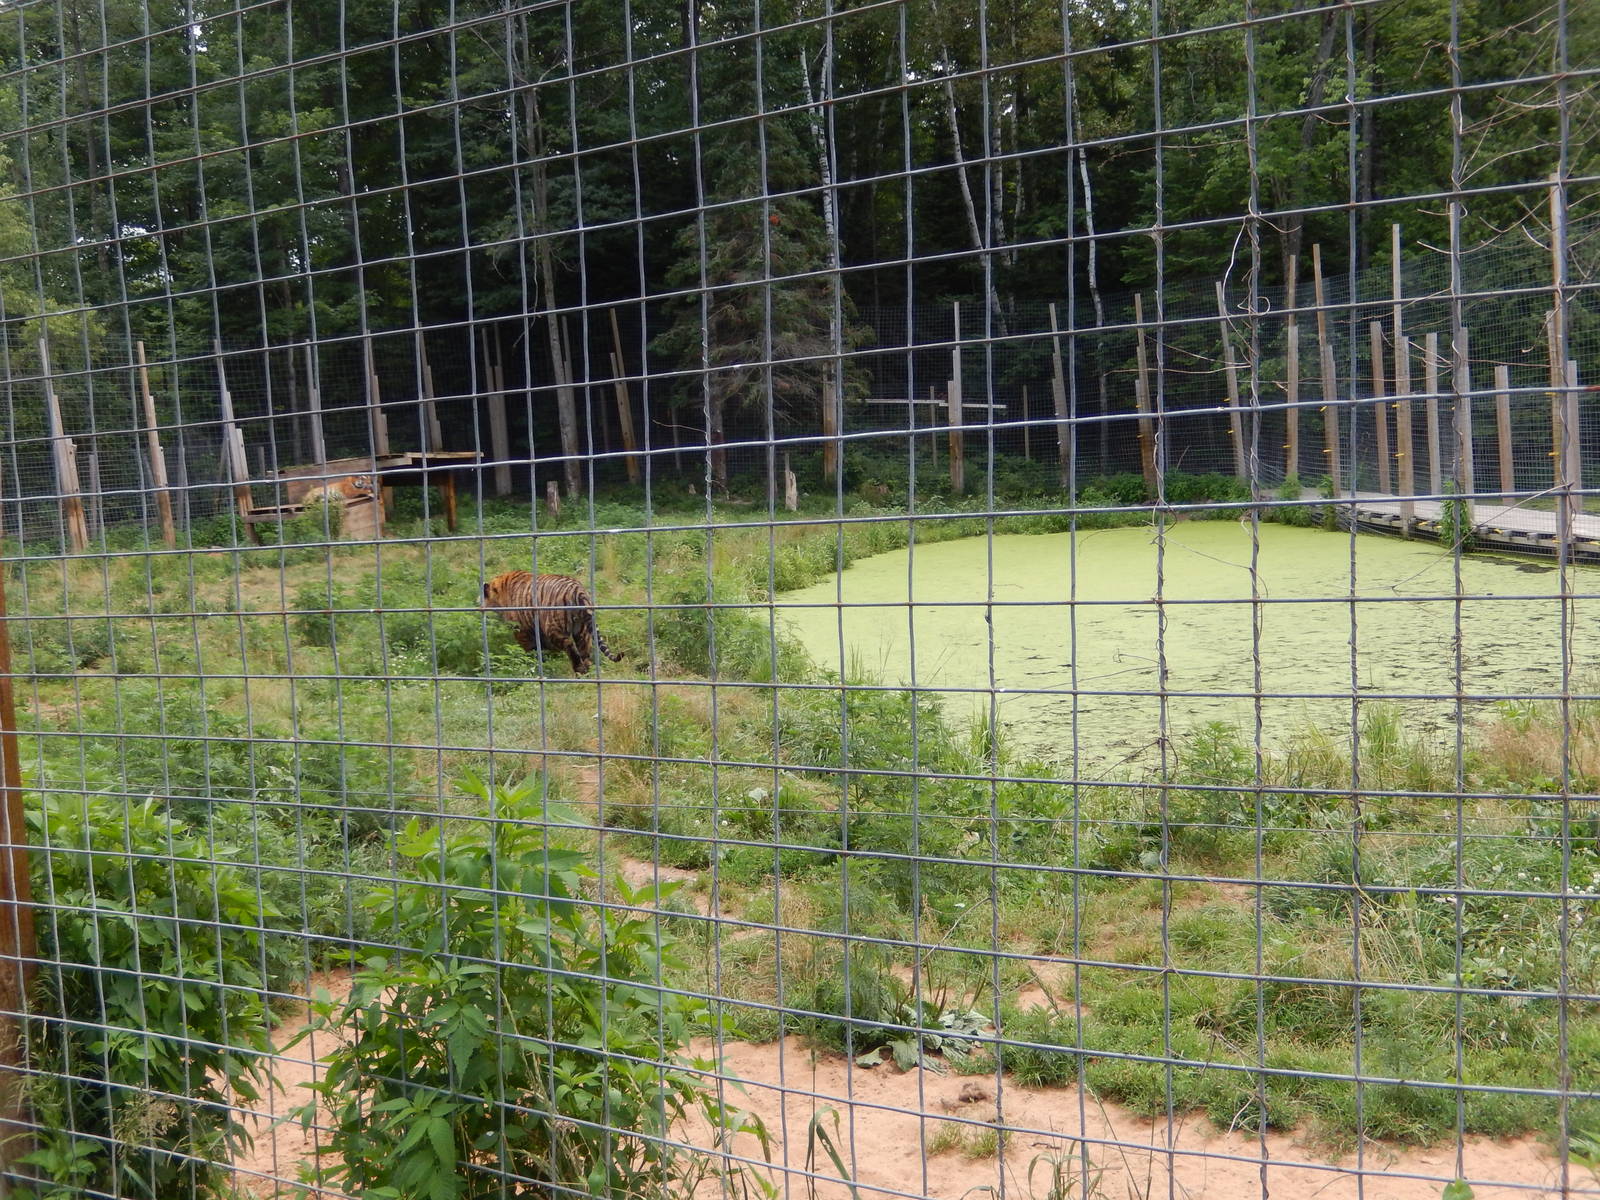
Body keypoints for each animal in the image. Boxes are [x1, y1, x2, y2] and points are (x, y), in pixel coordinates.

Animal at [477, 571, 622, 675]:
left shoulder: (521, 630)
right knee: (585, 652)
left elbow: (531, 650)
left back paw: (578, 669)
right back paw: (586, 673)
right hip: (582, 631)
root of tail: (578, 590)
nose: (478, 608)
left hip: (553, 627)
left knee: (569, 645)